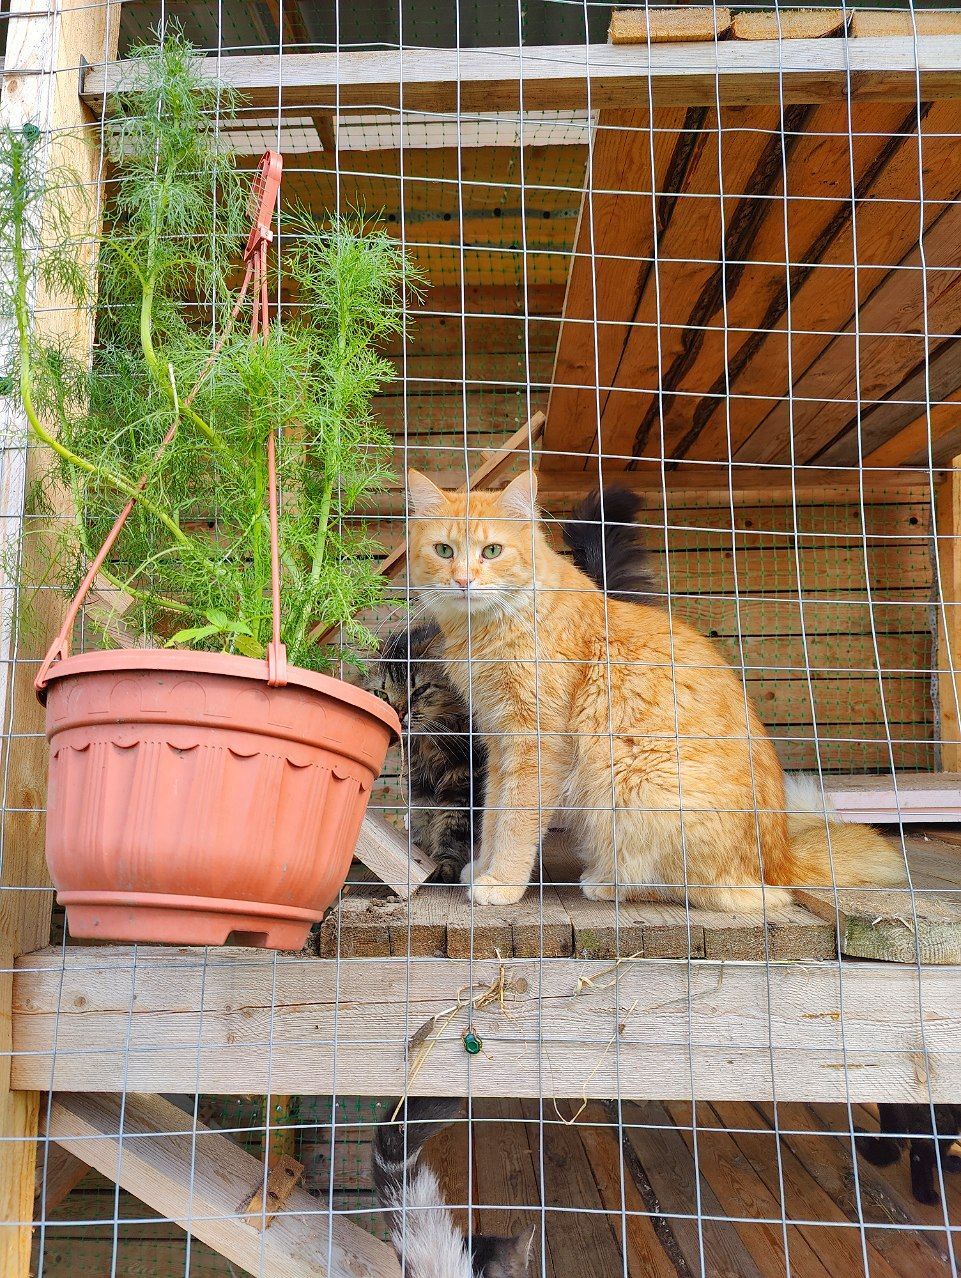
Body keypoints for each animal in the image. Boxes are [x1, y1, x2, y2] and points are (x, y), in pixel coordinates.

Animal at [406, 467, 909, 909]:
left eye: (491, 550)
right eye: (444, 550)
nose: (463, 580)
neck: (490, 628)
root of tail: (779, 857)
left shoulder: (535, 744)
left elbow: (515, 823)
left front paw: (503, 883)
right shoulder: (500, 742)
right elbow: (493, 814)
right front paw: (482, 869)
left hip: (638, 783)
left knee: (719, 893)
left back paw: (607, 884)